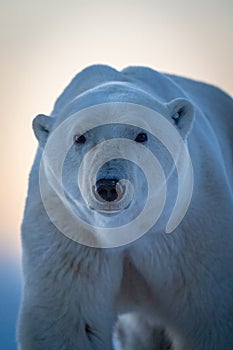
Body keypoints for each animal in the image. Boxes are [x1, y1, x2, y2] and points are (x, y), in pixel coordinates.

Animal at [17, 64, 233, 348]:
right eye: (80, 137)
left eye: (141, 135)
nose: (108, 185)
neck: (124, 230)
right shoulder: (69, 236)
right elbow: (72, 323)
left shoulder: (191, 231)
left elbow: (209, 314)